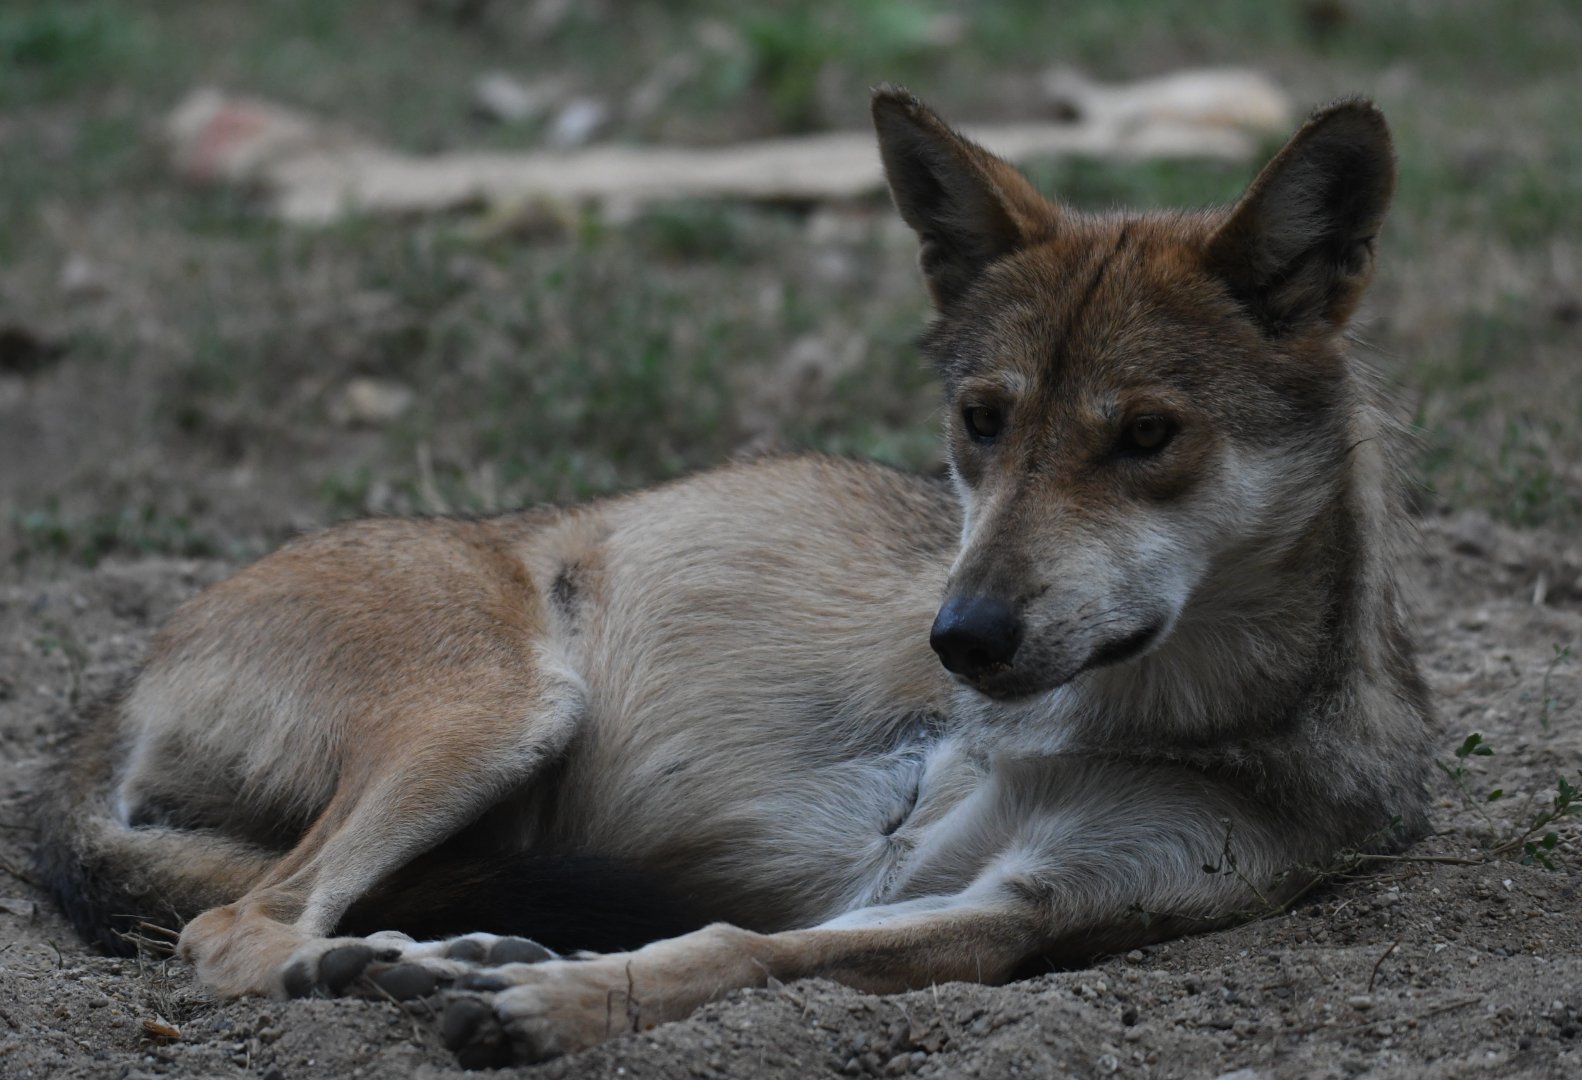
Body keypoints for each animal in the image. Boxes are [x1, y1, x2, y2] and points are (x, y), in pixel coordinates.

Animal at [36, 88, 1432, 1067]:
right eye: (982, 421)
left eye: (1146, 434)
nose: (960, 637)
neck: (1118, 719)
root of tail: (113, 690)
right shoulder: (917, 869)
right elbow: (738, 944)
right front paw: (546, 1002)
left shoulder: (1008, 906)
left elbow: (751, 954)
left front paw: (556, 996)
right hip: (504, 713)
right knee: (235, 927)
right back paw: (378, 971)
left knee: (289, 912)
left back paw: (433, 957)